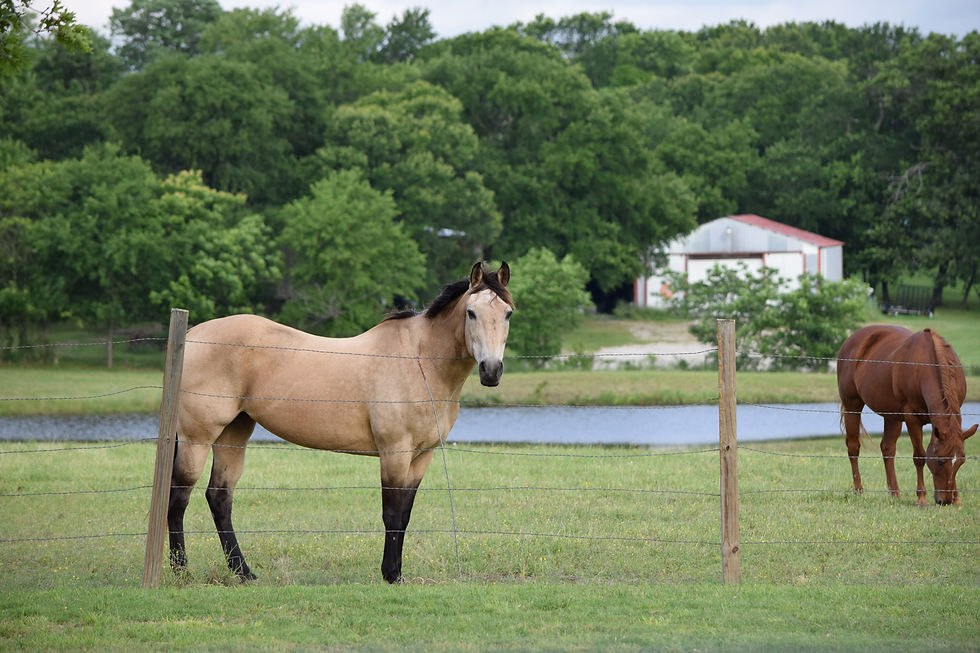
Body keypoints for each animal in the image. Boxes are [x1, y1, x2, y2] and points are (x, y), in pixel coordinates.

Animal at [168, 261, 513, 582]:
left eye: (508, 313)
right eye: (471, 312)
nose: (491, 370)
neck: (420, 361)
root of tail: (192, 335)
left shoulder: (421, 456)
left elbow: (404, 516)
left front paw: (397, 573)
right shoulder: (394, 452)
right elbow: (392, 514)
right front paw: (390, 574)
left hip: (234, 432)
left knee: (220, 497)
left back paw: (243, 572)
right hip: (197, 437)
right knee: (179, 495)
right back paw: (181, 569)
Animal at [837, 325, 976, 506]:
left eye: (961, 461)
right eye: (939, 461)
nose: (945, 500)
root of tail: (851, 340)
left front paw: (957, 499)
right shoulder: (912, 419)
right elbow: (919, 456)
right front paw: (921, 499)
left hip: (892, 415)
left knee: (887, 448)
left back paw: (895, 493)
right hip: (852, 405)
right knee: (854, 447)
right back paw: (859, 491)